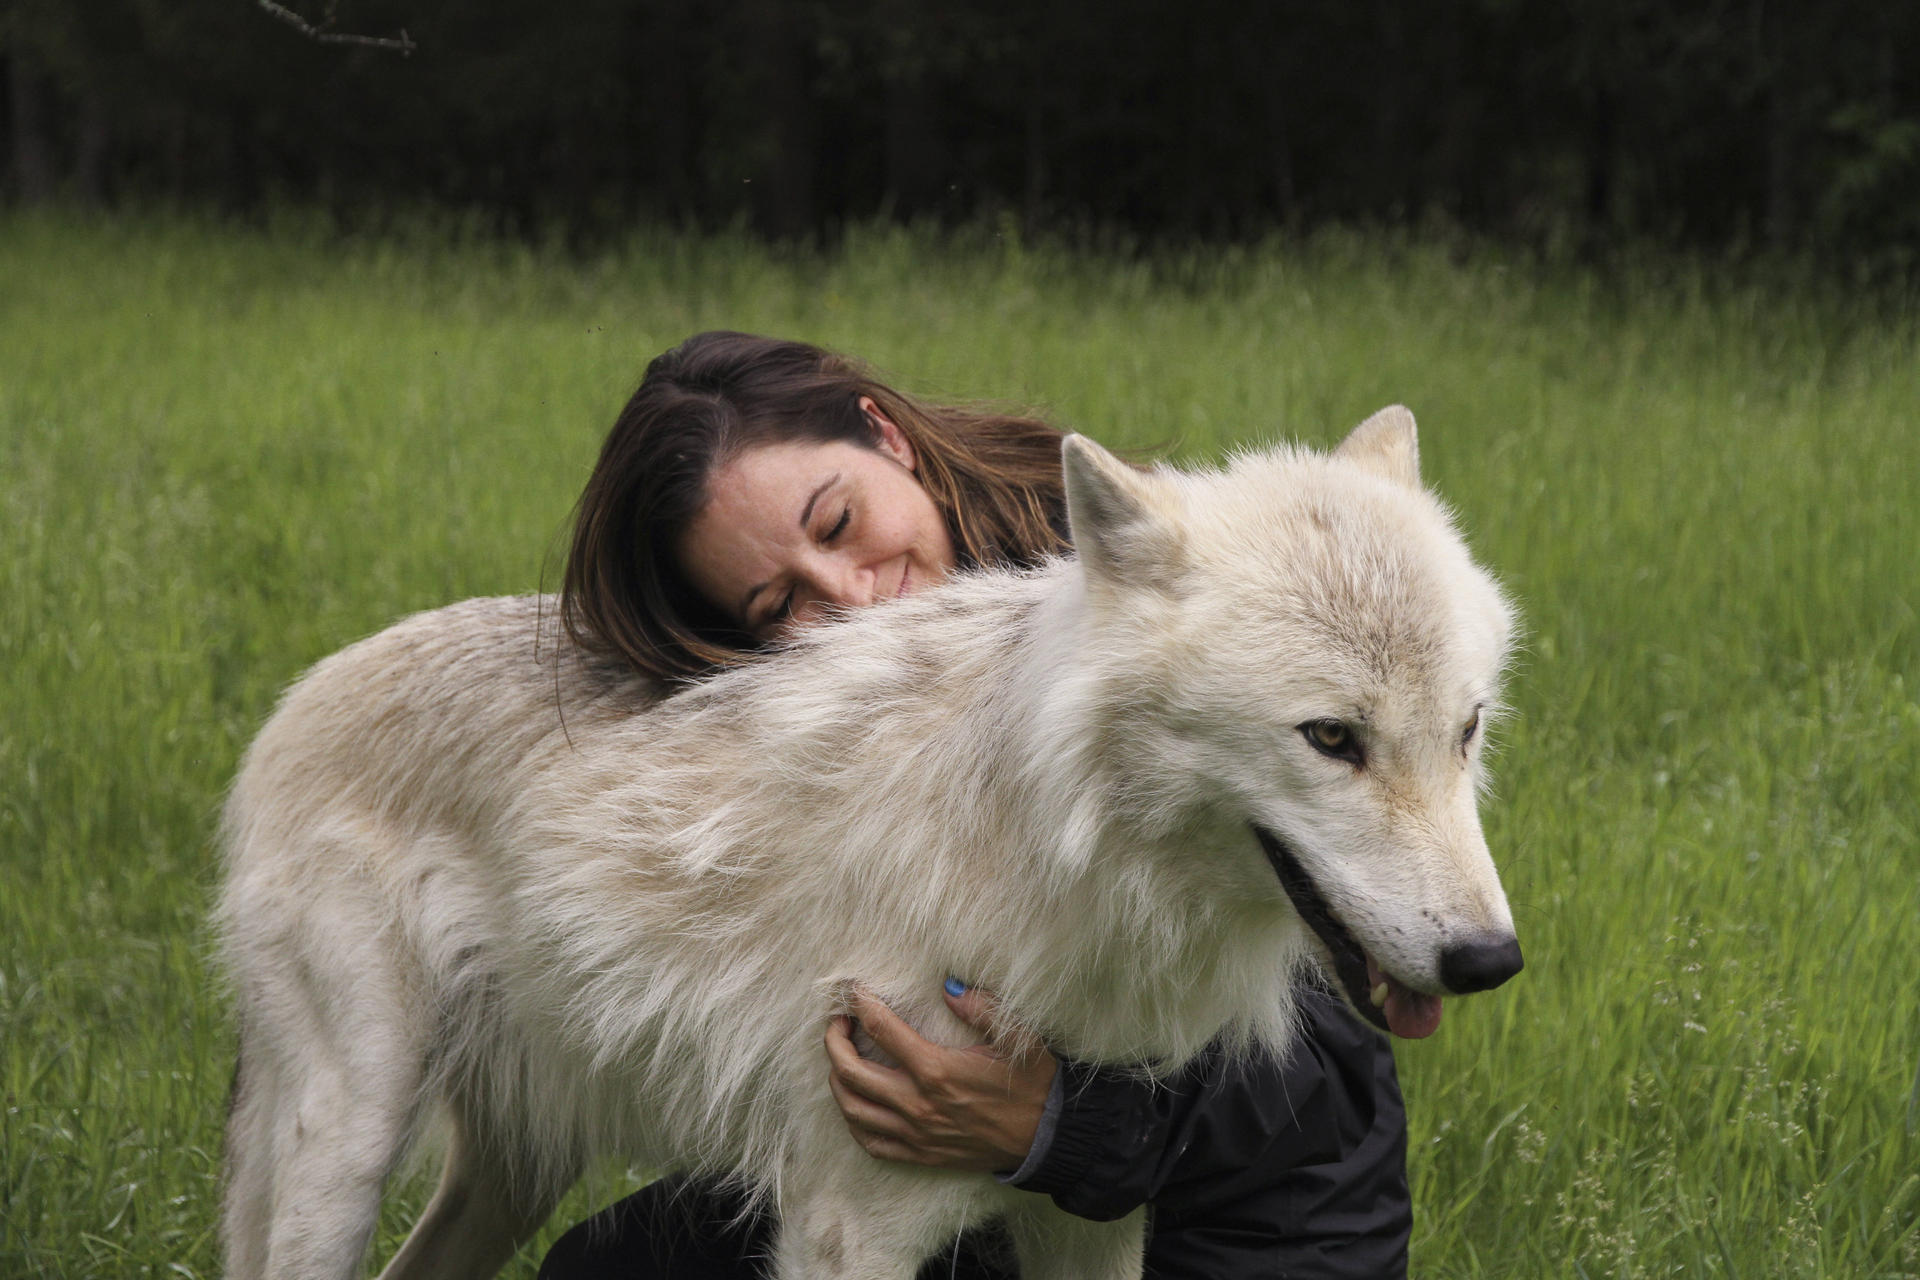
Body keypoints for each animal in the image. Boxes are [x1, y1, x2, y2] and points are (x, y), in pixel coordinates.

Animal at [217, 412, 1520, 1280]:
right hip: (347, 1143)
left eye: (1465, 728)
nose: (1489, 960)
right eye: (1332, 738)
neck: (1053, 845)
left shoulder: (1095, 1201)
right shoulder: (849, 1224)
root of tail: (296, 696)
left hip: (509, 1171)